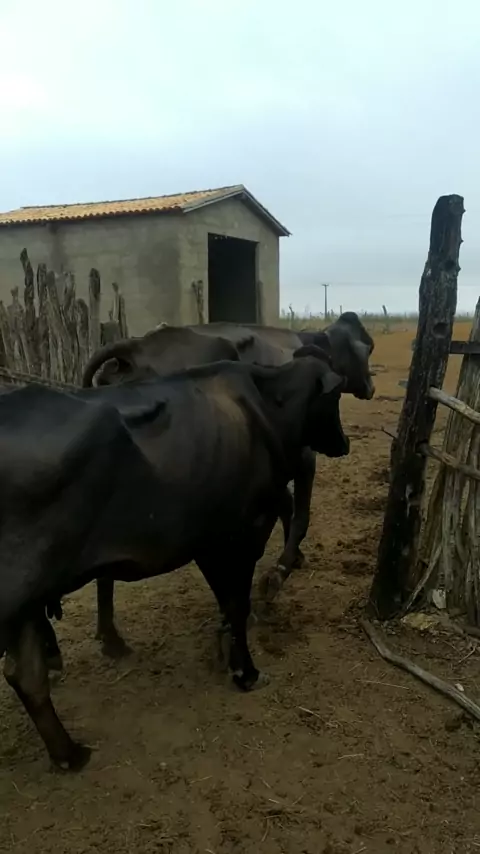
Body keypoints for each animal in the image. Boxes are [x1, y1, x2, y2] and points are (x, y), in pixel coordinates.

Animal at [0, 349, 349, 771]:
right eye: (335, 397)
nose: (344, 442)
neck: (266, 408)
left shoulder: (208, 540)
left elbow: (227, 601)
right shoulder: (240, 533)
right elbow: (237, 603)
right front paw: (245, 672)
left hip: (26, 601)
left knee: (26, 675)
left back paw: (69, 754)